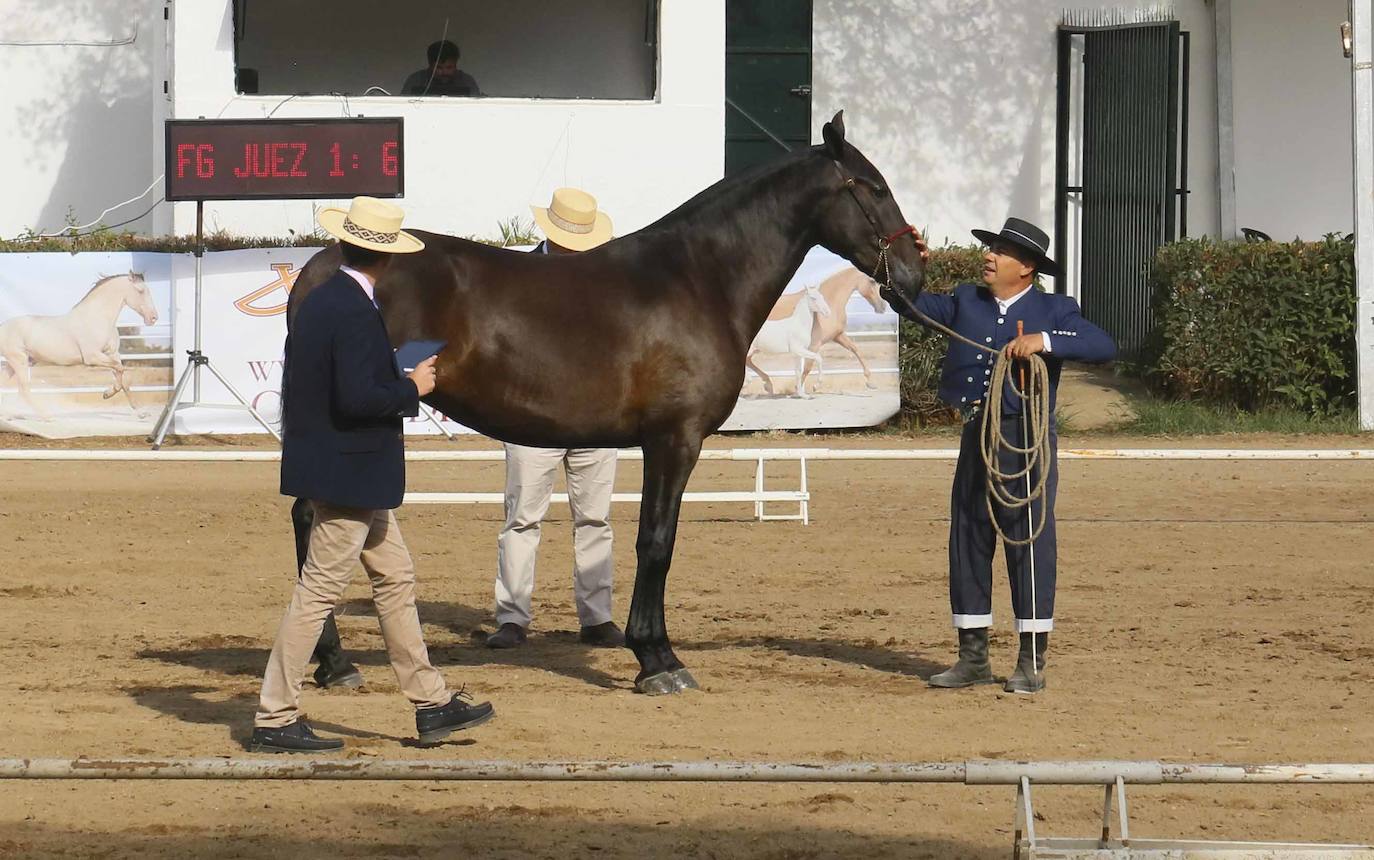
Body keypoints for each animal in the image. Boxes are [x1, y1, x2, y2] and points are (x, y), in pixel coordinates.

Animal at [288, 111, 923, 689]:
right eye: (875, 188)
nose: (914, 274)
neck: (698, 279)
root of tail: (325, 265)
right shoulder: (674, 439)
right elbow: (657, 541)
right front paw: (658, 660)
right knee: (315, 520)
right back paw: (333, 661)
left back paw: (332, 661)